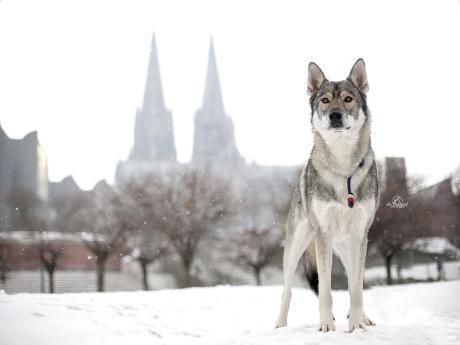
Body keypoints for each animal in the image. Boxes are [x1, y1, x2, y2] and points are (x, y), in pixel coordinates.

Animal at [274, 58, 380, 330]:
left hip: (347, 246)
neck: (343, 169)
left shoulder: (361, 235)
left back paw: (363, 317)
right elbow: (325, 290)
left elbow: (356, 288)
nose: (335, 115)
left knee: (354, 279)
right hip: (296, 247)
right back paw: (280, 324)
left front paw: (357, 325)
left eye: (348, 99)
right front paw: (326, 326)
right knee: (287, 290)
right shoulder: (323, 235)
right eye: (324, 100)